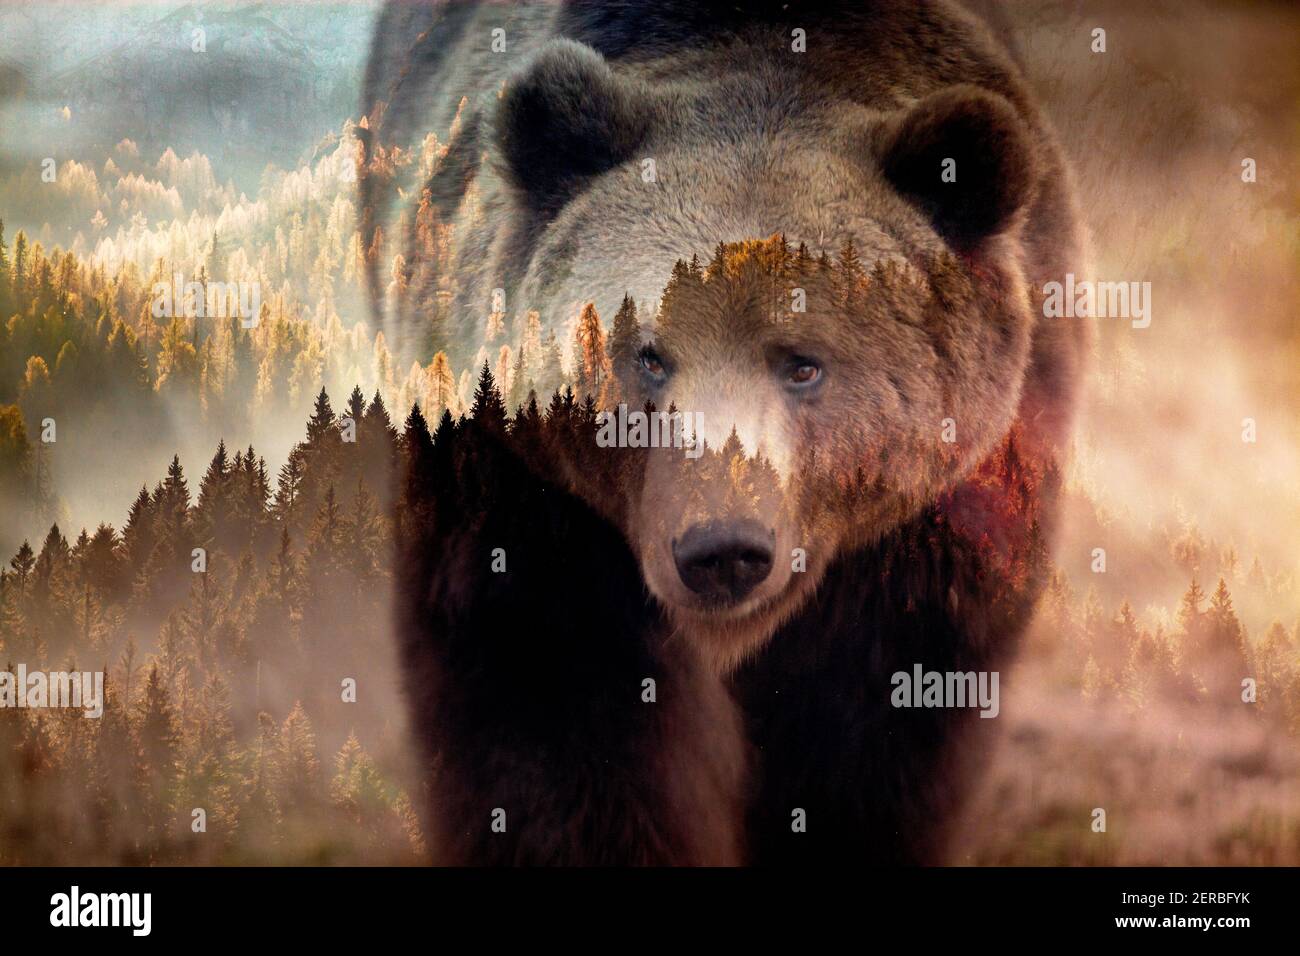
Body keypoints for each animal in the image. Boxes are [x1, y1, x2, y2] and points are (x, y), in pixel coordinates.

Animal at [361, 0, 1088, 864]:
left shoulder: (944, 509)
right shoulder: (515, 475)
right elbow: (548, 696)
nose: (722, 547)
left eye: (803, 364)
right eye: (647, 354)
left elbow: (874, 721)